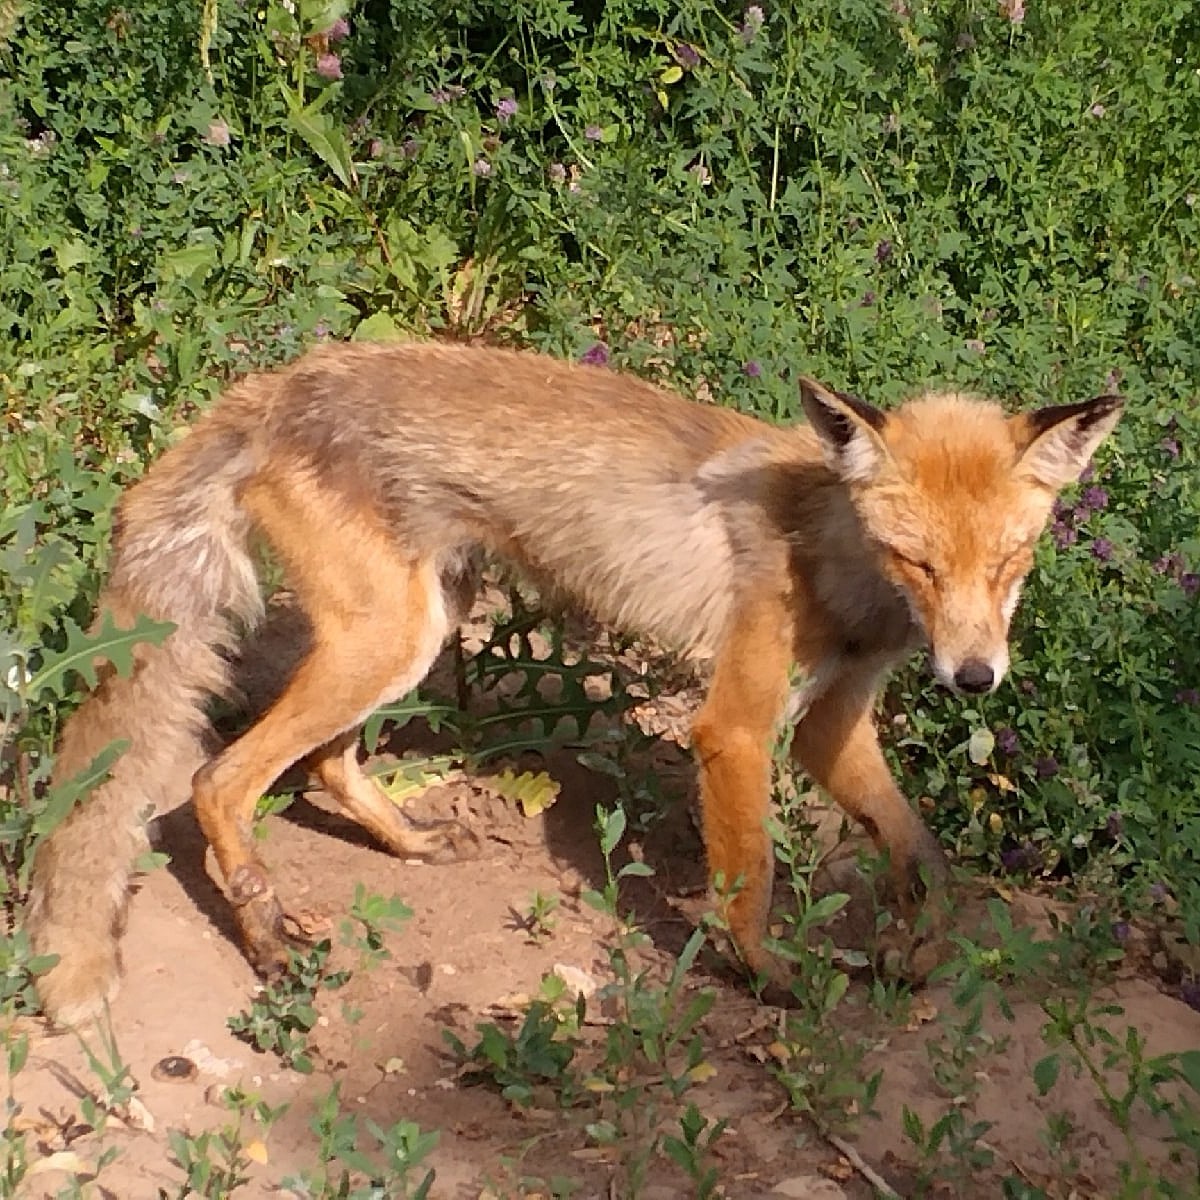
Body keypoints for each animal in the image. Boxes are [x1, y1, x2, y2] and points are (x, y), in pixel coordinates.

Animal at [25, 338, 1123, 1022]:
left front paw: (919, 947)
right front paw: (768, 974)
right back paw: (267, 935)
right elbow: (753, 874)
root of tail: (276, 383)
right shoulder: (734, 726)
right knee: (217, 782)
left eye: (1011, 563)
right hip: (386, 640)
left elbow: (926, 859)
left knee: (324, 764)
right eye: (920, 563)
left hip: (419, 626)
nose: (974, 679)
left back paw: (408, 839)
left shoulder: (831, 723)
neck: (836, 556)